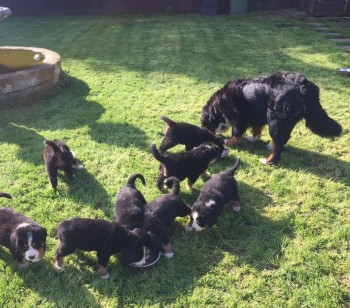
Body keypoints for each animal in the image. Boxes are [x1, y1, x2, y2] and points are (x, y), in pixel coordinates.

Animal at [201, 72, 344, 165]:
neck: (219, 105)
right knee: (284, 138)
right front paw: (254, 138)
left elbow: (236, 135)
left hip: (276, 120)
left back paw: (268, 161)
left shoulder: (239, 119)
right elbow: (256, 128)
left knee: (279, 144)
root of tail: (305, 87)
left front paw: (227, 142)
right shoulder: (257, 114)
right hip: (286, 121)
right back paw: (271, 146)